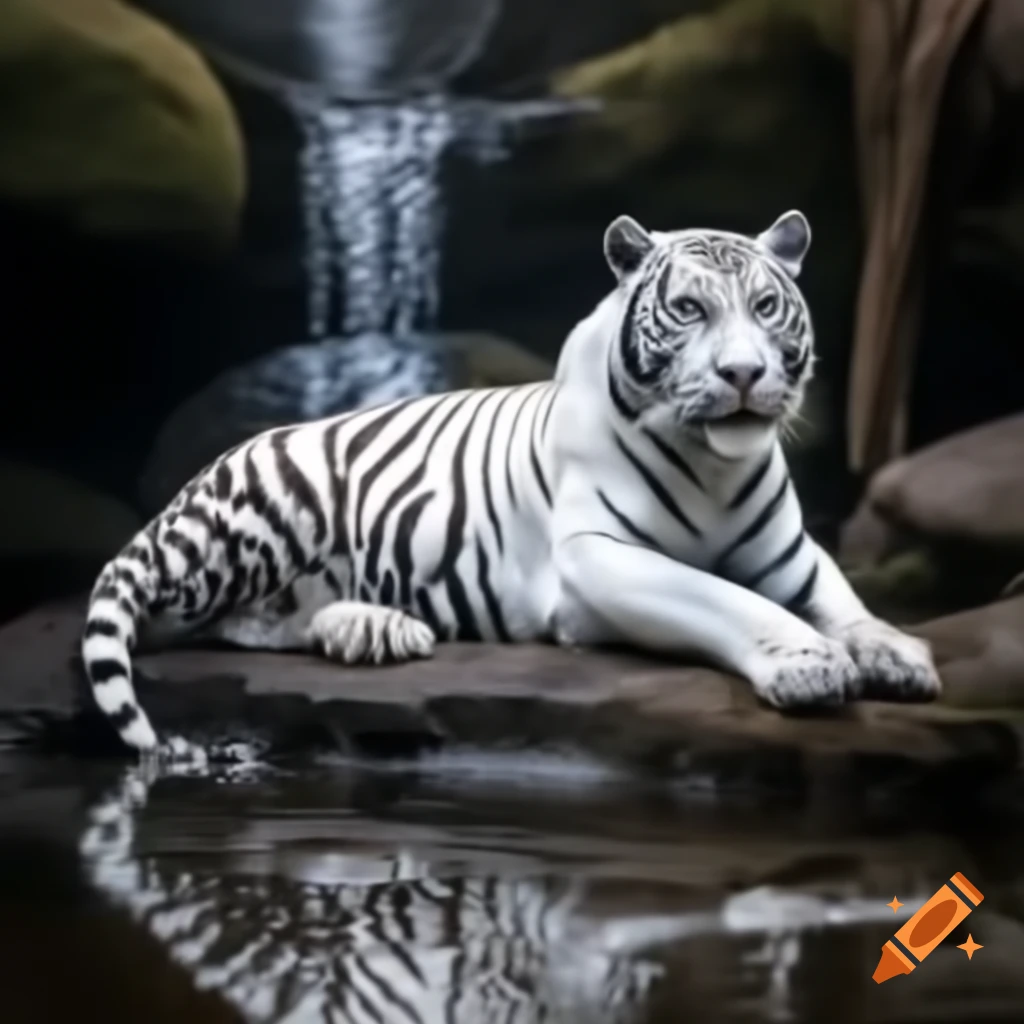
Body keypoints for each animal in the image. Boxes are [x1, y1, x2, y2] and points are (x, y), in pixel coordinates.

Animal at [81, 209, 941, 755]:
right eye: (691, 310)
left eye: (765, 307)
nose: (743, 374)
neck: (716, 465)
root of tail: (183, 494)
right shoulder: (596, 557)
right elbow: (726, 598)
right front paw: (808, 664)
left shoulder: (790, 553)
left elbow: (842, 600)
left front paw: (897, 653)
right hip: (263, 524)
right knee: (189, 625)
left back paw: (377, 629)